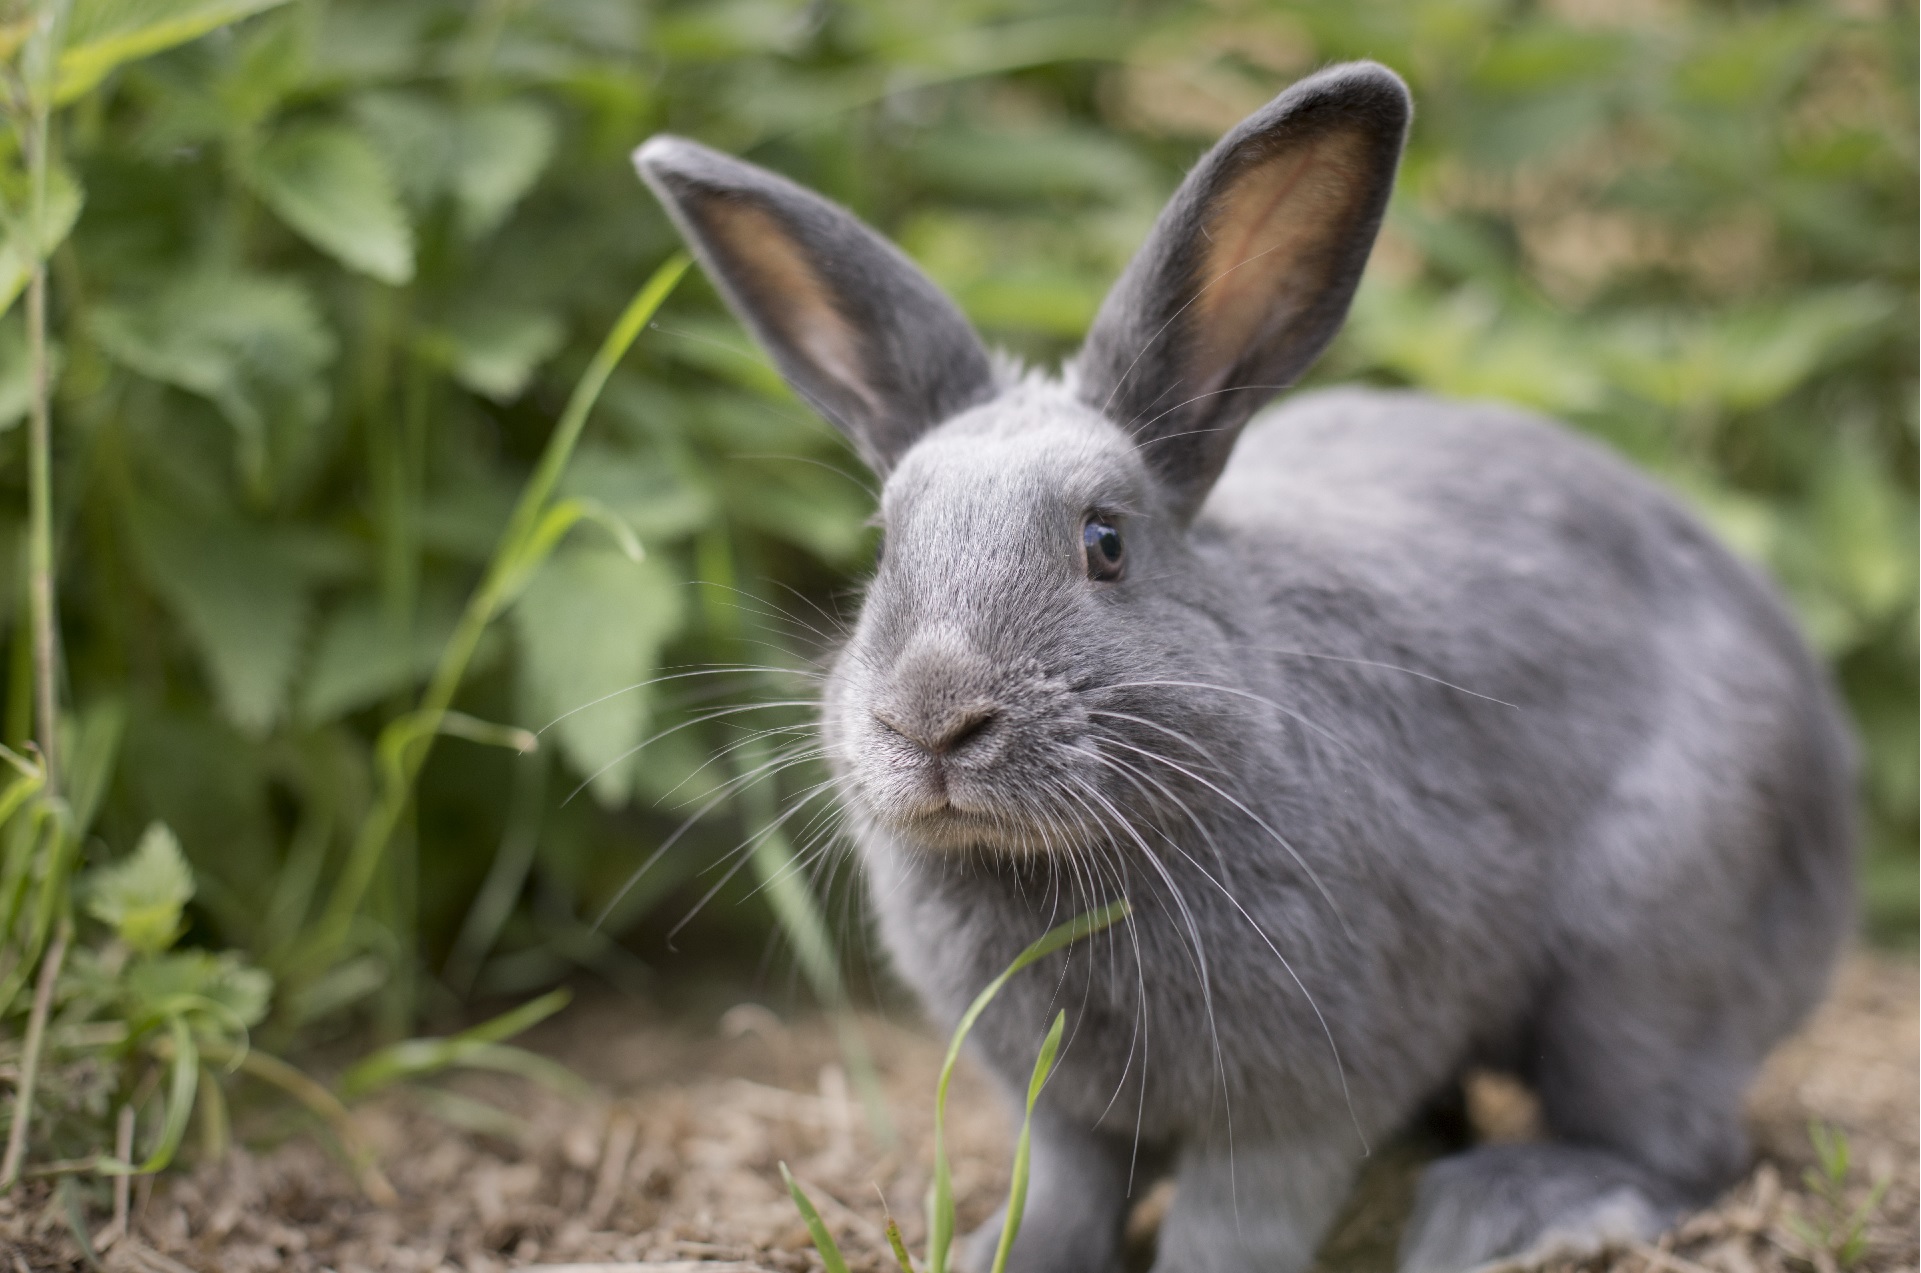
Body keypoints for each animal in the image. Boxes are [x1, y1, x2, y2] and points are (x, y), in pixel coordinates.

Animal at [637, 62, 1851, 1273]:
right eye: (886, 543)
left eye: (1106, 542)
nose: (931, 719)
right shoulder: (1059, 1110)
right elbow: (1061, 1193)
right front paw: (1000, 1254)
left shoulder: (1293, 1105)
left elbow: (1233, 1223)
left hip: (1643, 965)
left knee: (1673, 1143)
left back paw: (1512, 1212)